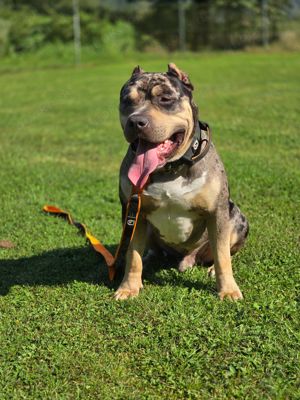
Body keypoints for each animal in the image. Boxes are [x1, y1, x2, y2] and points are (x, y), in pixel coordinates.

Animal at [115, 62, 248, 300]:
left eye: (165, 99)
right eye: (127, 100)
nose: (136, 121)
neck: (170, 168)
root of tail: (187, 257)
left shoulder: (217, 213)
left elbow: (222, 254)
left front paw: (228, 290)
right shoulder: (133, 211)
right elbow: (133, 254)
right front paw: (128, 287)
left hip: (237, 218)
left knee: (224, 250)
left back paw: (210, 268)